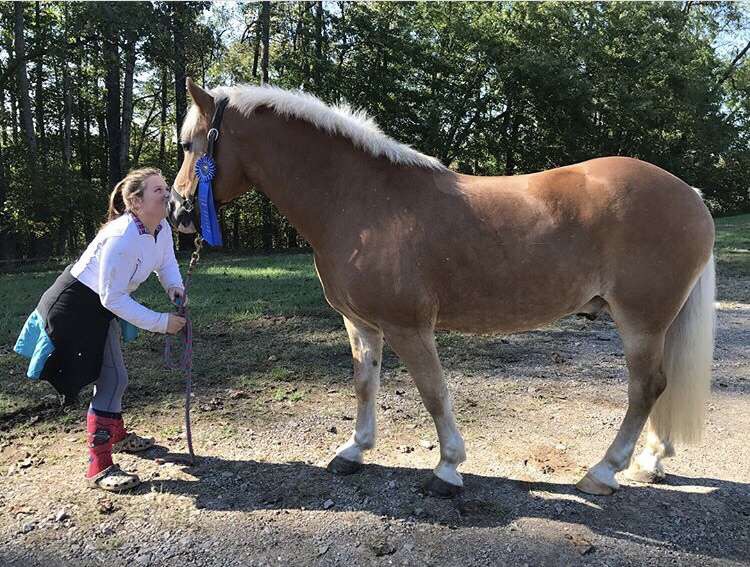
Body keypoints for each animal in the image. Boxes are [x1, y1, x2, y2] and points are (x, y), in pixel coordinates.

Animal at [169, 79, 716, 496]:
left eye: (192, 145)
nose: (177, 213)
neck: (362, 200)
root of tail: (689, 193)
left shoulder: (408, 326)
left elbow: (433, 392)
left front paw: (448, 467)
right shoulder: (361, 323)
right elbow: (365, 384)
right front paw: (354, 450)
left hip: (641, 321)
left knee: (646, 388)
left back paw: (604, 471)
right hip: (654, 324)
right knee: (658, 389)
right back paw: (649, 461)